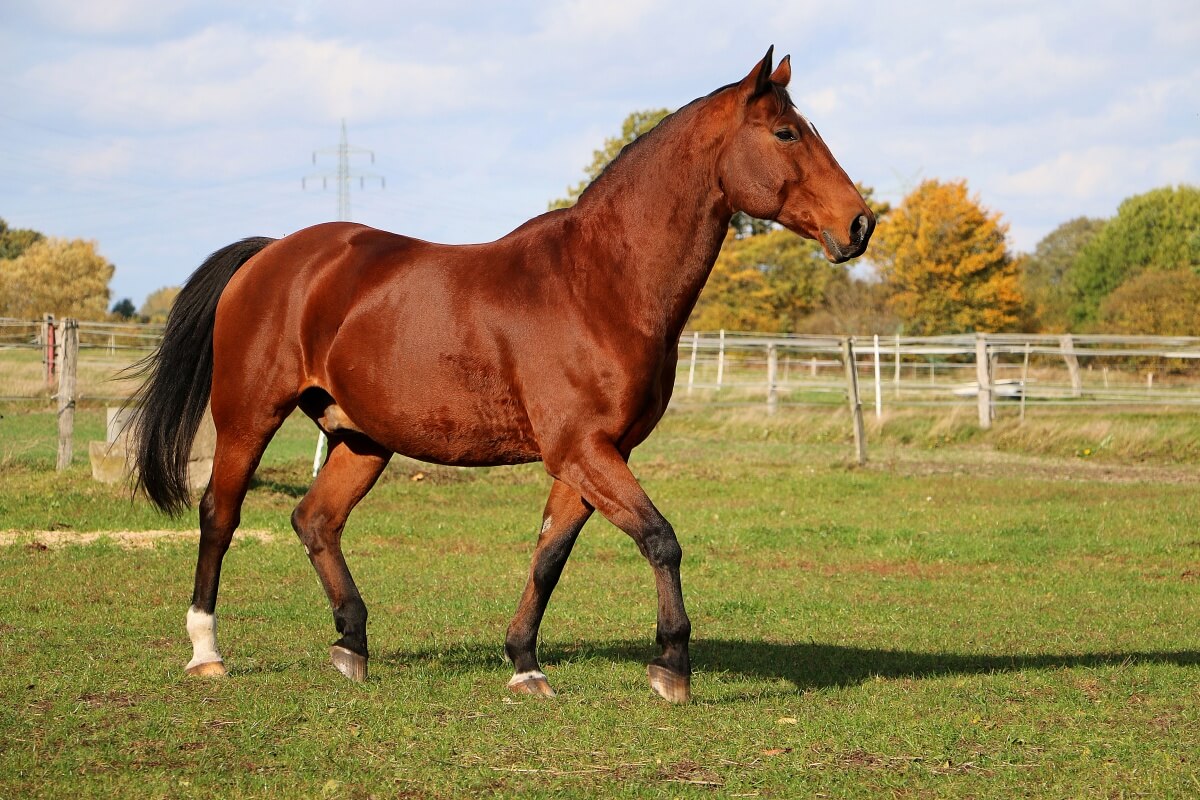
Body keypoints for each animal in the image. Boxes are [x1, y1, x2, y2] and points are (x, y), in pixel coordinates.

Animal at [128, 47, 874, 703]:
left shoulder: (592, 455)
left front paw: (524, 664)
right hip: (248, 418)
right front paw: (671, 665)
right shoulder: (583, 450)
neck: (600, 282)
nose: (860, 223)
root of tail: (273, 254)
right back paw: (206, 652)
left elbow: (549, 555)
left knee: (315, 520)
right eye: (785, 132)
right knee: (220, 514)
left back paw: (351, 646)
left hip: (362, 439)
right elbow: (660, 540)